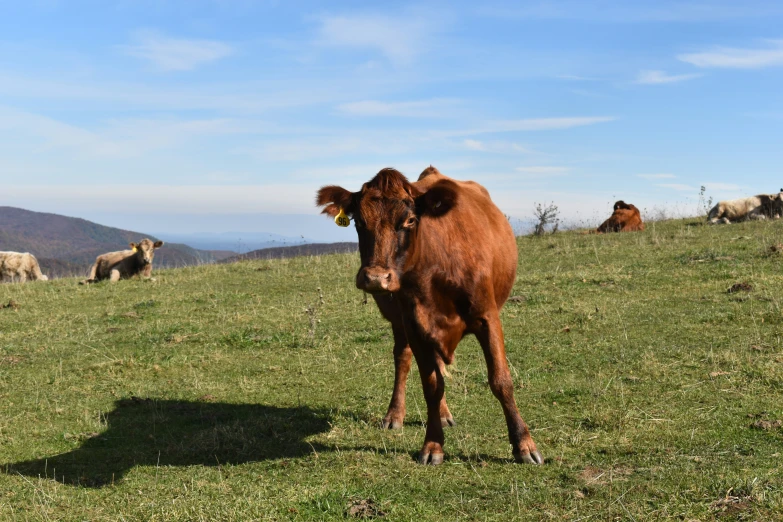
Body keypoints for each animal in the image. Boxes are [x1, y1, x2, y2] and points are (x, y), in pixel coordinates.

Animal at [316, 166, 544, 464]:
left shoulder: (488, 317)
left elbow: (501, 380)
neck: (434, 269)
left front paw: (524, 444)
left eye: (410, 220)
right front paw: (433, 445)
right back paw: (395, 415)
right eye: (359, 222)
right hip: (399, 322)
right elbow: (432, 386)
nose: (376, 278)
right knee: (403, 360)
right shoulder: (414, 325)